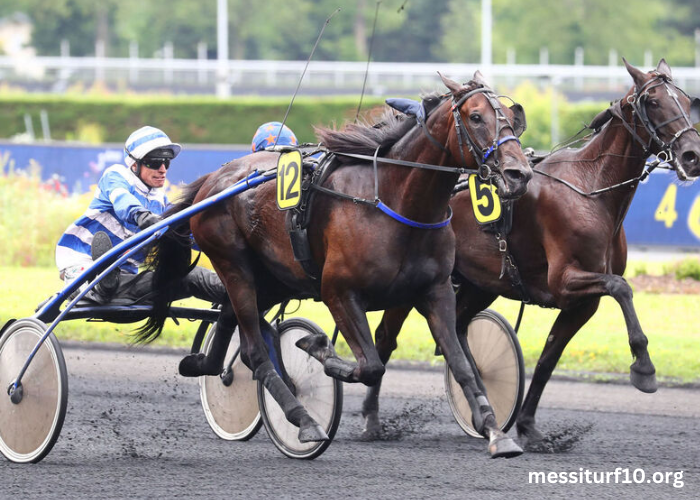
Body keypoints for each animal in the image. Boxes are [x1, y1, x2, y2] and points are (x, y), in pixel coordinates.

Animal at [137, 72, 532, 458]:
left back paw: (204, 365)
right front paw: (317, 347)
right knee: (255, 351)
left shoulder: (435, 291)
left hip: (274, 277)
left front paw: (496, 432)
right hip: (234, 265)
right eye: (476, 117)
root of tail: (213, 180)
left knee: (233, 325)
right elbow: (370, 365)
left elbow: (462, 364)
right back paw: (304, 421)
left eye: (511, 118)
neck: (395, 202)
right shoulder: (338, 291)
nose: (519, 174)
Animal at [360, 58, 700, 450]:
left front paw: (528, 426)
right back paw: (371, 419)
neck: (590, 188)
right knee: (386, 337)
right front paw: (644, 368)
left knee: (457, 328)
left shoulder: (582, 302)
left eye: (686, 101)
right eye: (654, 101)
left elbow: (549, 359)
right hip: (413, 282)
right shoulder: (565, 280)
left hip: (479, 283)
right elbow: (621, 287)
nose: (692, 155)